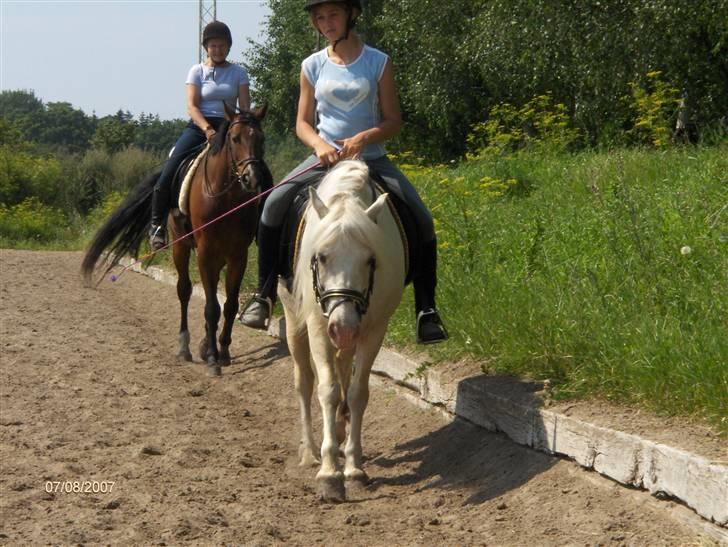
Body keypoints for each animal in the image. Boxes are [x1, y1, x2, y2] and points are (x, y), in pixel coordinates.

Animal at [82, 104, 270, 376]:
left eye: (261, 139)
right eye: (235, 139)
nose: (252, 178)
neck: (226, 196)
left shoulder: (238, 255)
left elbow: (230, 305)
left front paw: (223, 351)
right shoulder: (205, 252)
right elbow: (211, 307)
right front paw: (212, 359)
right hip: (181, 246)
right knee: (184, 291)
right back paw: (186, 347)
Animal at [278, 158, 406, 500]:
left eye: (371, 259)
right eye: (321, 257)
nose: (344, 327)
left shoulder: (374, 328)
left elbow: (357, 392)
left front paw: (353, 466)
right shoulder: (318, 327)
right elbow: (328, 389)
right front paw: (329, 473)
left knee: (343, 367)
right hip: (295, 320)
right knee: (304, 381)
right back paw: (310, 451)